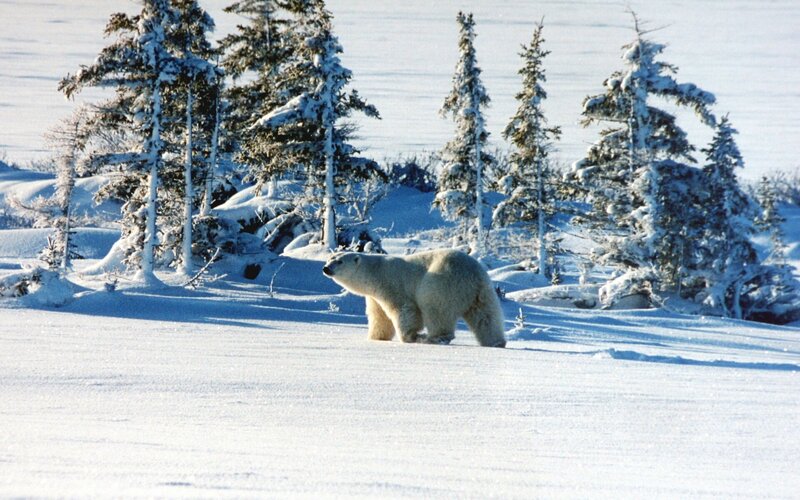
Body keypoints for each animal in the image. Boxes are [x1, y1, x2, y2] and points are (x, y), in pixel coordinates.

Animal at [322, 249, 506, 347]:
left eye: (339, 261)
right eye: (330, 258)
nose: (326, 268)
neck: (374, 271)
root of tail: (472, 274)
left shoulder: (391, 285)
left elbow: (403, 309)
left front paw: (409, 337)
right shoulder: (374, 296)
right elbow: (379, 316)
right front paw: (376, 337)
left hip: (442, 282)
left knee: (435, 308)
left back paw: (434, 338)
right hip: (483, 291)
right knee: (486, 317)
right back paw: (496, 342)